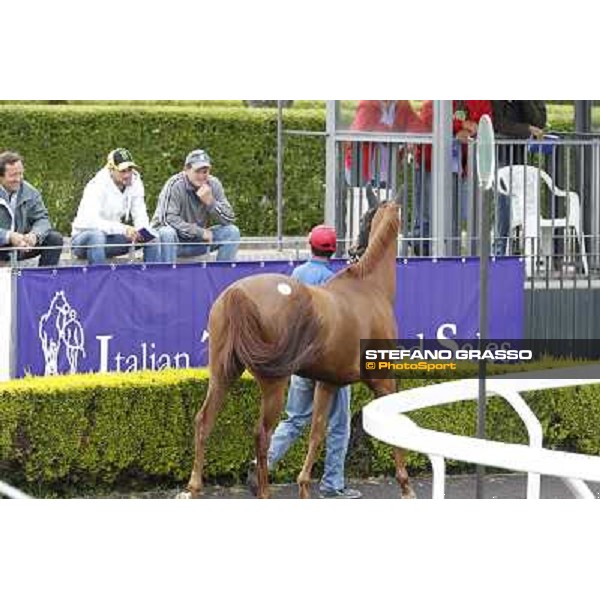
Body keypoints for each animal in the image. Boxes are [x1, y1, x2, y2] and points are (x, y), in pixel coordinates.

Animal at [176, 195, 414, 500]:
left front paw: (303, 485)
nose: (353, 249)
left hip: (222, 373)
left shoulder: (328, 383)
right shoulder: (382, 379)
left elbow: (317, 431)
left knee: (204, 421)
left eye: (363, 218)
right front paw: (406, 485)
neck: (368, 287)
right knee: (262, 434)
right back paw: (264, 491)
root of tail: (237, 293)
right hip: (274, 382)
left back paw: (194, 486)